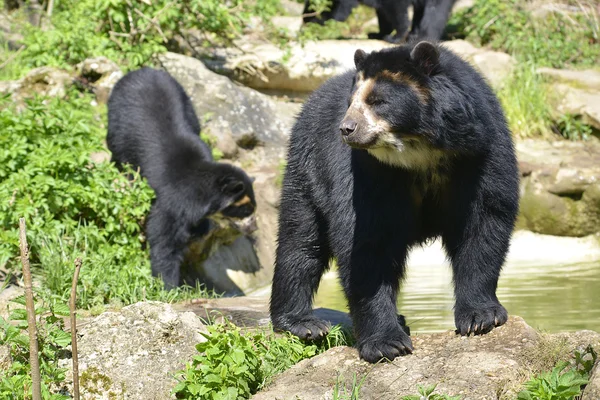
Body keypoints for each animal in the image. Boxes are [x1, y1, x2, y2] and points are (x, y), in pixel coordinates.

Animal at [107, 68, 255, 288]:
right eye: (243, 211)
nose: (253, 228)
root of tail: (141, 70)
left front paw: (201, 227)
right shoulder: (172, 202)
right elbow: (164, 239)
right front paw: (167, 285)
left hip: (185, 100)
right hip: (117, 118)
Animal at [272, 40, 520, 362]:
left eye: (378, 101)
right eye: (351, 101)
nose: (347, 128)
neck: (420, 152)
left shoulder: (480, 152)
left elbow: (484, 220)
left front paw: (481, 317)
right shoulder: (367, 171)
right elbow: (366, 242)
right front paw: (387, 343)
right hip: (307, 166)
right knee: (300, 240)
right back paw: (302, 323)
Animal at [302, 0, 458, 42]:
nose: (304, 22)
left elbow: (397, 11)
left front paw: (395, 37)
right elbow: (382, 13)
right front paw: (377, 34)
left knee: (434, 14)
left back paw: (423, 37)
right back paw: (414, 35)